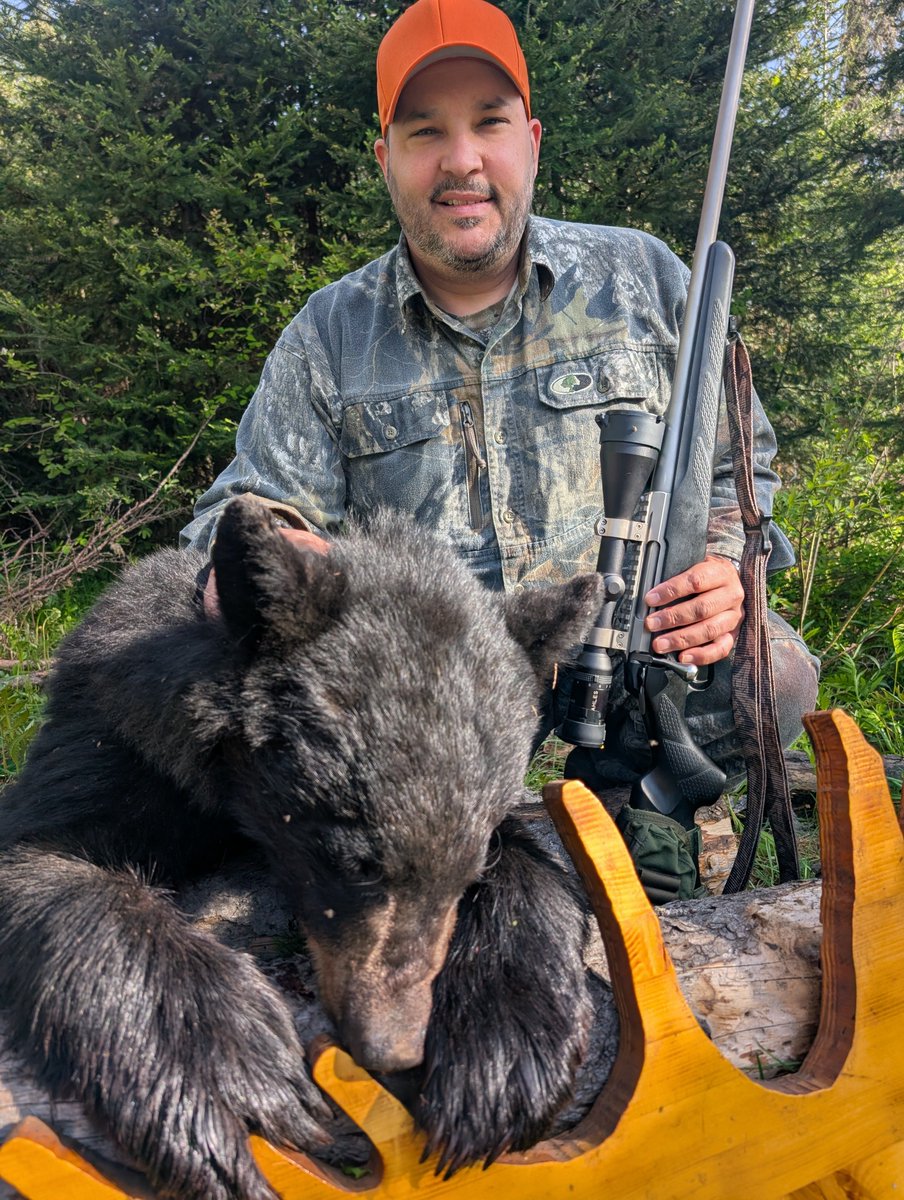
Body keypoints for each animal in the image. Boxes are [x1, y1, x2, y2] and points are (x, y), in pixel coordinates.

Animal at [0, 497, 604, 1200]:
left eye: (469, 871)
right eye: (352, 860)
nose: (391, 1046)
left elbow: (527, 850)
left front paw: (506, 1049)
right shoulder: (120, 738)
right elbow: (45, 852)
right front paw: (217, 1068)